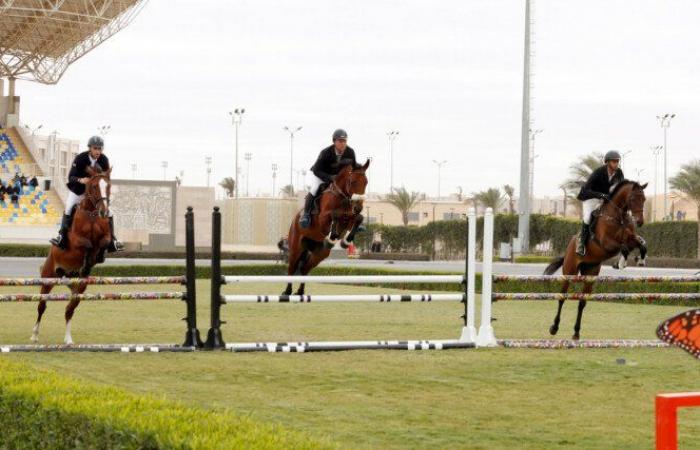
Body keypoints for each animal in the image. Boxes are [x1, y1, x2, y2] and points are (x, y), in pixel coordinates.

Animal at [32, 166, 113, 344]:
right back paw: (34, 335)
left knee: (70, 309)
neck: (92, 213)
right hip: (48, 278)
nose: (104, 212)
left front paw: (96, 257)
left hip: (80, 285)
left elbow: (103, 243)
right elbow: (87, 244)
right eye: (94, 186)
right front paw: (88, 258)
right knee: (42, 306)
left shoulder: (105, 236)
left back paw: (68, 339)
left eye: (109, 186)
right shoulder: (76, 241)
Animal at [284, 160, 372, 298]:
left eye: (366, 182)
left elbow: (359, 218)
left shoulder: (348, 220)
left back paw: (300, 292)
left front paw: (345, 241)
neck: (342, 196)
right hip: (295, 247)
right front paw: (333, 236)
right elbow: (334, 214)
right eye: (352, 182)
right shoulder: (322, 220)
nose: (358, 207)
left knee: (305, 268)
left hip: (320, 253)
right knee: (292, 268)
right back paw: (287, 292)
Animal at [544, 181, 648, 340]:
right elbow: (624, 247)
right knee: (562, 297)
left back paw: (576, 333)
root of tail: (569, 248)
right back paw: (554, 327)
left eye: (644, 199)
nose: (639, 221)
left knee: (582, 302)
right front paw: (620, 263)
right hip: (569, 271)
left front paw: (640, 259)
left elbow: (640, 244)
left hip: (590, 274)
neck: (618, 217)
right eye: (632, 199)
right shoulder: (607, 243)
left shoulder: (630, 238)